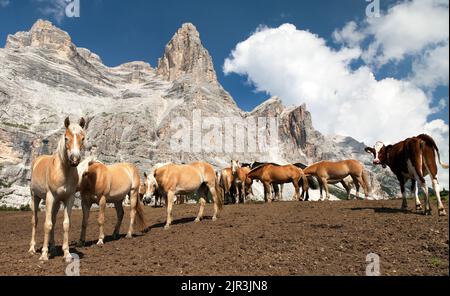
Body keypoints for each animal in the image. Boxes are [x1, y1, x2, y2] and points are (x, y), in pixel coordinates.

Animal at [29, 117, 88, 262]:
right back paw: (32, 249)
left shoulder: (68, 199)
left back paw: (53, 248)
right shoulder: (50, 197)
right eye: (66, 138)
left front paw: (67, 254)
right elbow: (47, 224)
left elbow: (65, 224)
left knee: (54, 221)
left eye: (83, 138)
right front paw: (44, 255)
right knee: (35, 221)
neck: (63, 172)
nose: (74, 159)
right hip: (35, 197)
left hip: (55, 204)